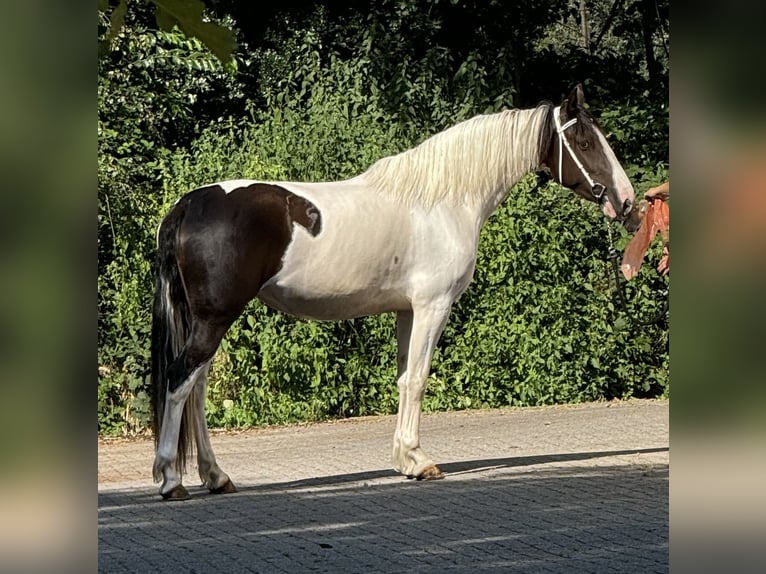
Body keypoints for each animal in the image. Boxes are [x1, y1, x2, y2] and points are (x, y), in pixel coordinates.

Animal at [150, 84, 640, 500]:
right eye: (585, 142)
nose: (628, 202)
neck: (442, 201)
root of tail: (189, 204)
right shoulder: (433, 307)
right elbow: (419, 379)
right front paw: (419, 461)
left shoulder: (408, 311)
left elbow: (405, 378)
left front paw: (405, 459)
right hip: (215, 318)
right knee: (180, 380)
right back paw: (171, 480)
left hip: (207, 319)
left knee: (196, 389)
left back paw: (216, 476)